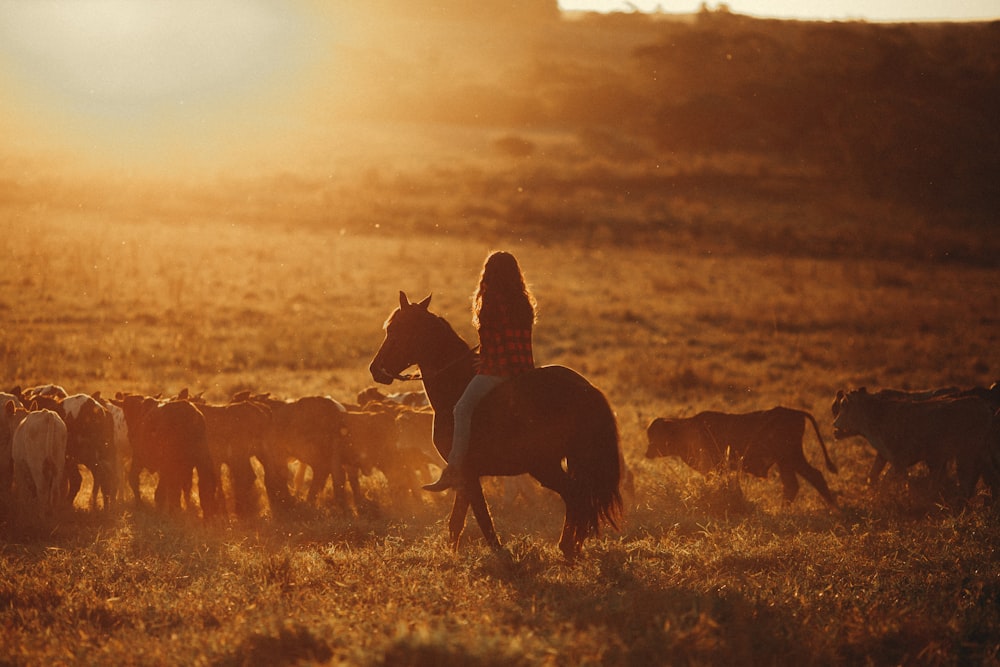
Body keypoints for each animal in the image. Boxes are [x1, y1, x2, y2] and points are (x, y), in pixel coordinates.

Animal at [370, 292, 616, 560]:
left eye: (395, 329)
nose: (375, 369)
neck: (455, 387)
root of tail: (587, 390)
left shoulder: (467, 472)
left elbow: (480, 516)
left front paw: (497, 552)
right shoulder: (465, 475)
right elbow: (459, 519)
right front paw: (452, 553)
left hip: (544, 466)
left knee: (574, 496)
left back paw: (567, 548)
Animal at [644, 408, 840, 506]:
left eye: (656, 436)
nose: (647, 452)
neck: (686, 430)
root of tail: (796, 412)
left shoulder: (713, 468)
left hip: (790, 457)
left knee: (811, 478)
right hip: (786, 461)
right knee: (795, 484)